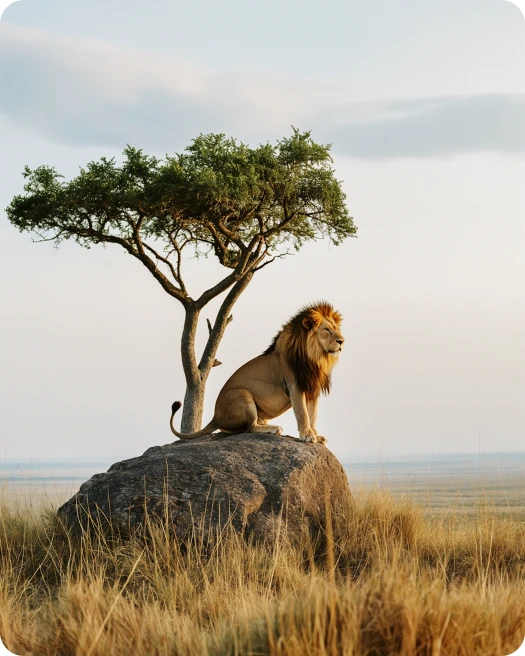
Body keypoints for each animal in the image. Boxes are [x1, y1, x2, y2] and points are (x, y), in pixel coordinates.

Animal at [170, 301, 344, 444]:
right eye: (326, 330)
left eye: (336, 329)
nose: (341, 341)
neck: (316, 357)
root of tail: (215, 417)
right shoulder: (295, 385)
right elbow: (303, 414)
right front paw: (307, 435)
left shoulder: (312, 388)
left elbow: (313, 415)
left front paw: (316, 434)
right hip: (242, 395)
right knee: (249, 428)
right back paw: (273, 428)